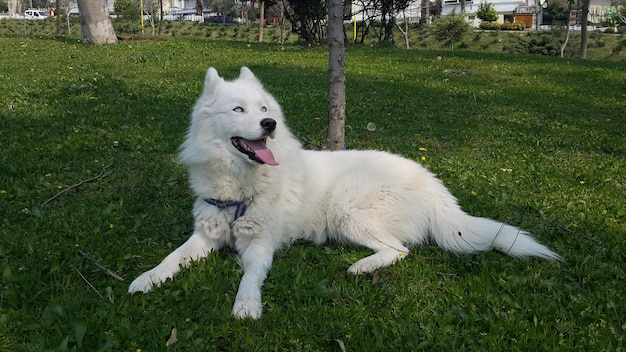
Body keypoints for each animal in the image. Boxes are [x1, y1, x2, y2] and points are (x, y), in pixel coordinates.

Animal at [127, 66, 560, 320]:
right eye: (238, 110)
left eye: (264, 109)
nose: (269, 125)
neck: (241, 186)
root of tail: (436, 188)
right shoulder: (205, 235)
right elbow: (171, 258)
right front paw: (146, 280)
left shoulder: (261, 246)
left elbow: (250, 277)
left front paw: (246, 305)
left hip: (346, 211)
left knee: (399, 250)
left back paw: (362, 267)